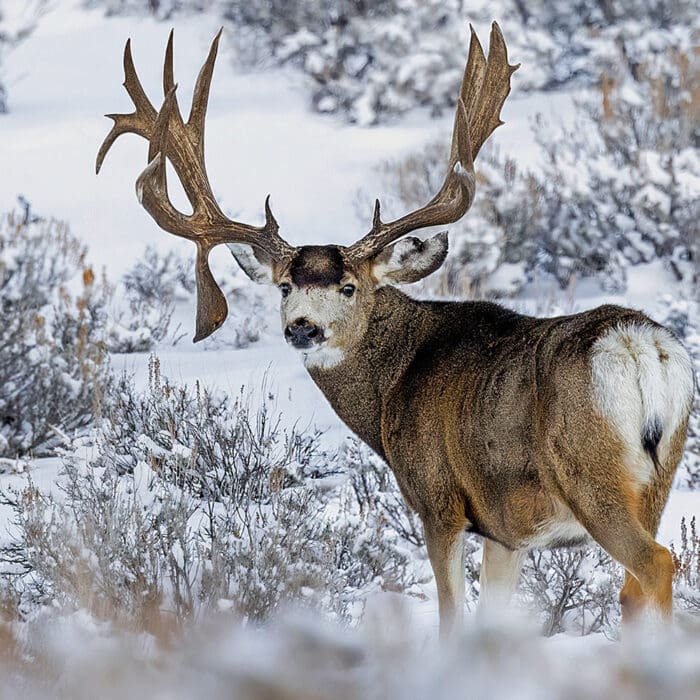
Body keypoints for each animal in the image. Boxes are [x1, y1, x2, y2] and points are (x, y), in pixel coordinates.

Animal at [96, 24, 695, 638]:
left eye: (349, 287)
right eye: (284, 286)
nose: (303, 329)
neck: (393, 388)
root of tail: (638, 344)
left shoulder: (437, 497)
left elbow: (451, 616)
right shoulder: (506, 530)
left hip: (589, 475)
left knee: (656, 563)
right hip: (659, 477)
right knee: (633, 586)